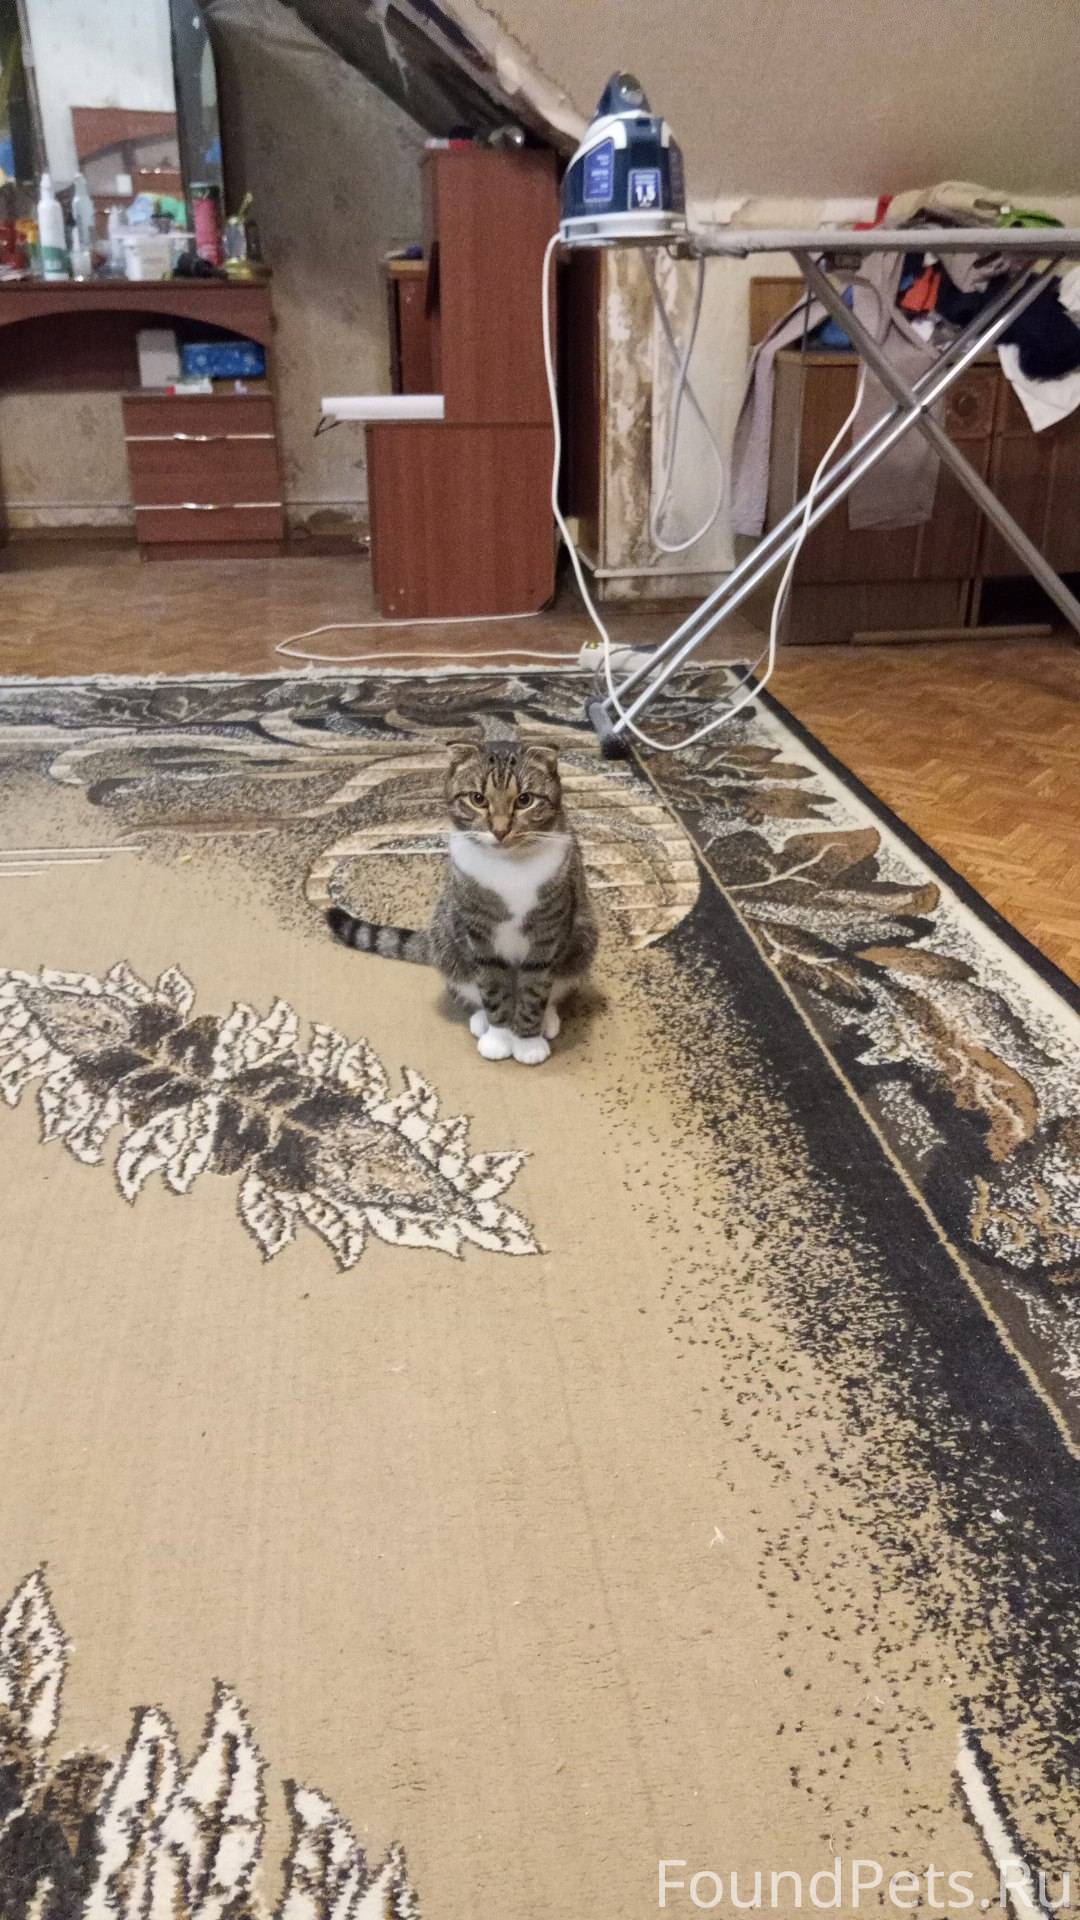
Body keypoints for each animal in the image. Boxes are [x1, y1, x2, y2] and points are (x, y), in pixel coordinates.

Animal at [326, 738, 597, 1066]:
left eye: (525, 800)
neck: (509, 867)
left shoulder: (547, 934)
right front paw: (499, 1036)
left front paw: (528, 1041)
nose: (500, 830)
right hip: (446, 937)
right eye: (478, 799)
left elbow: (534, 989)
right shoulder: (478, 933)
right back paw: (481, 1020)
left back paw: (547, 1019)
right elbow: (492, 987)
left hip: (583, 940)